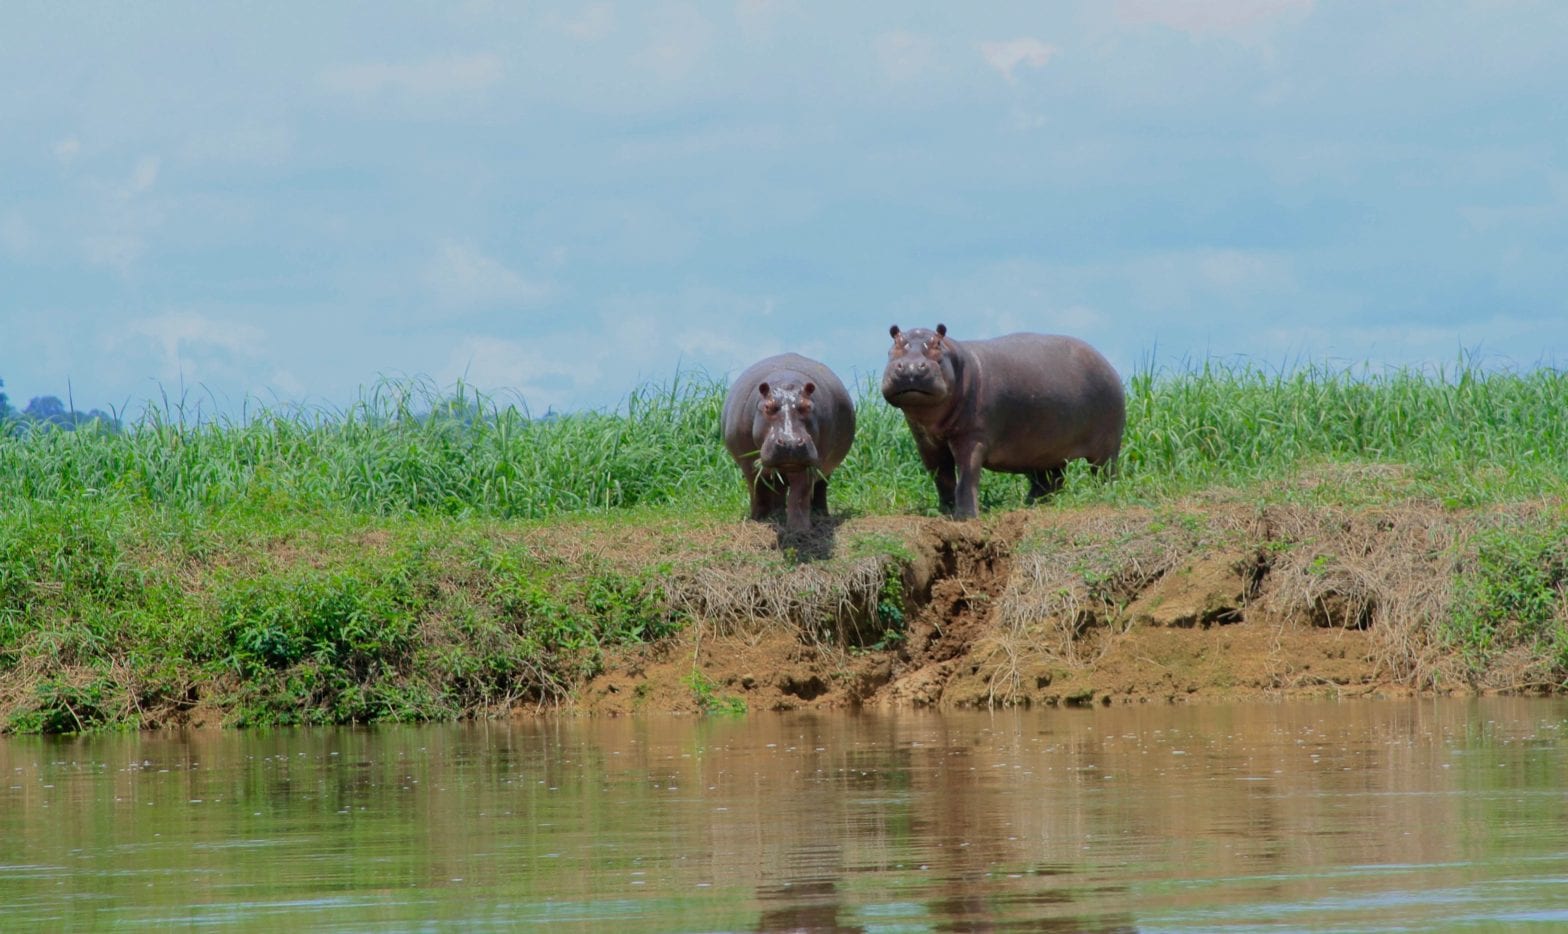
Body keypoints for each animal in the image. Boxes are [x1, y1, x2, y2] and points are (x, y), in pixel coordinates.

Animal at [721, 352, 859, 529]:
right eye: (767, 407)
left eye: (808, 406)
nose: (790, 442)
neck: (786, 384)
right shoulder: (748, 463)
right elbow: (759, 490)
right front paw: (760, 519)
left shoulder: (811, 462)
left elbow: (800, 493)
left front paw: (798, 529)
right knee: (775, 488)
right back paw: (776, 513)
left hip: (826, 468)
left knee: (820, 487)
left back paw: (820, 514)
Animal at [884, 324, 1128, 517]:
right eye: (894, 344)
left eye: (937, 345)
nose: (911, 368)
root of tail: (1107, 363)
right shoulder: (927, 443)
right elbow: (942, 478)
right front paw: (945, 512)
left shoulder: (972, 437)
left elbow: (967, 475)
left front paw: (965, 516)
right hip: (1044, 450)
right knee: (1050, 481)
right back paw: (1032, 505)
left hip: (1106, 446)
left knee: (1104, 473)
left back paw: (1104, 496)